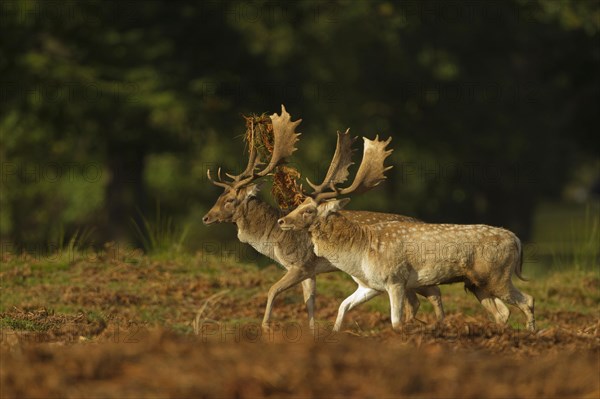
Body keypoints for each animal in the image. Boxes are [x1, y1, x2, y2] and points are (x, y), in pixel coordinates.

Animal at [204, 104, 442, 332]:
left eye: (230, 200)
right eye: (219, 196)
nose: (206, 218)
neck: (272, 239)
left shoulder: (300, 264)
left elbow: (272, 290)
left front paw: (265, 327)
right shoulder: (310, 270)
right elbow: (310, 301)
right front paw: (312, 332)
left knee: (427, 295)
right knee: (418, 299)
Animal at [276, 133, 536, 332]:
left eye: (308, 210)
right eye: (300, 204)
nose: (281, 220)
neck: (359, 254)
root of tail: (516, 240)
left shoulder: (395, 279)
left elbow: (395, 321)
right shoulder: (370, 286)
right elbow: (343, 306)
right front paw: (335, 333)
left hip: (498, 276)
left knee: (528, 300)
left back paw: (532, 336)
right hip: (477, 284)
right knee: (503, 312)